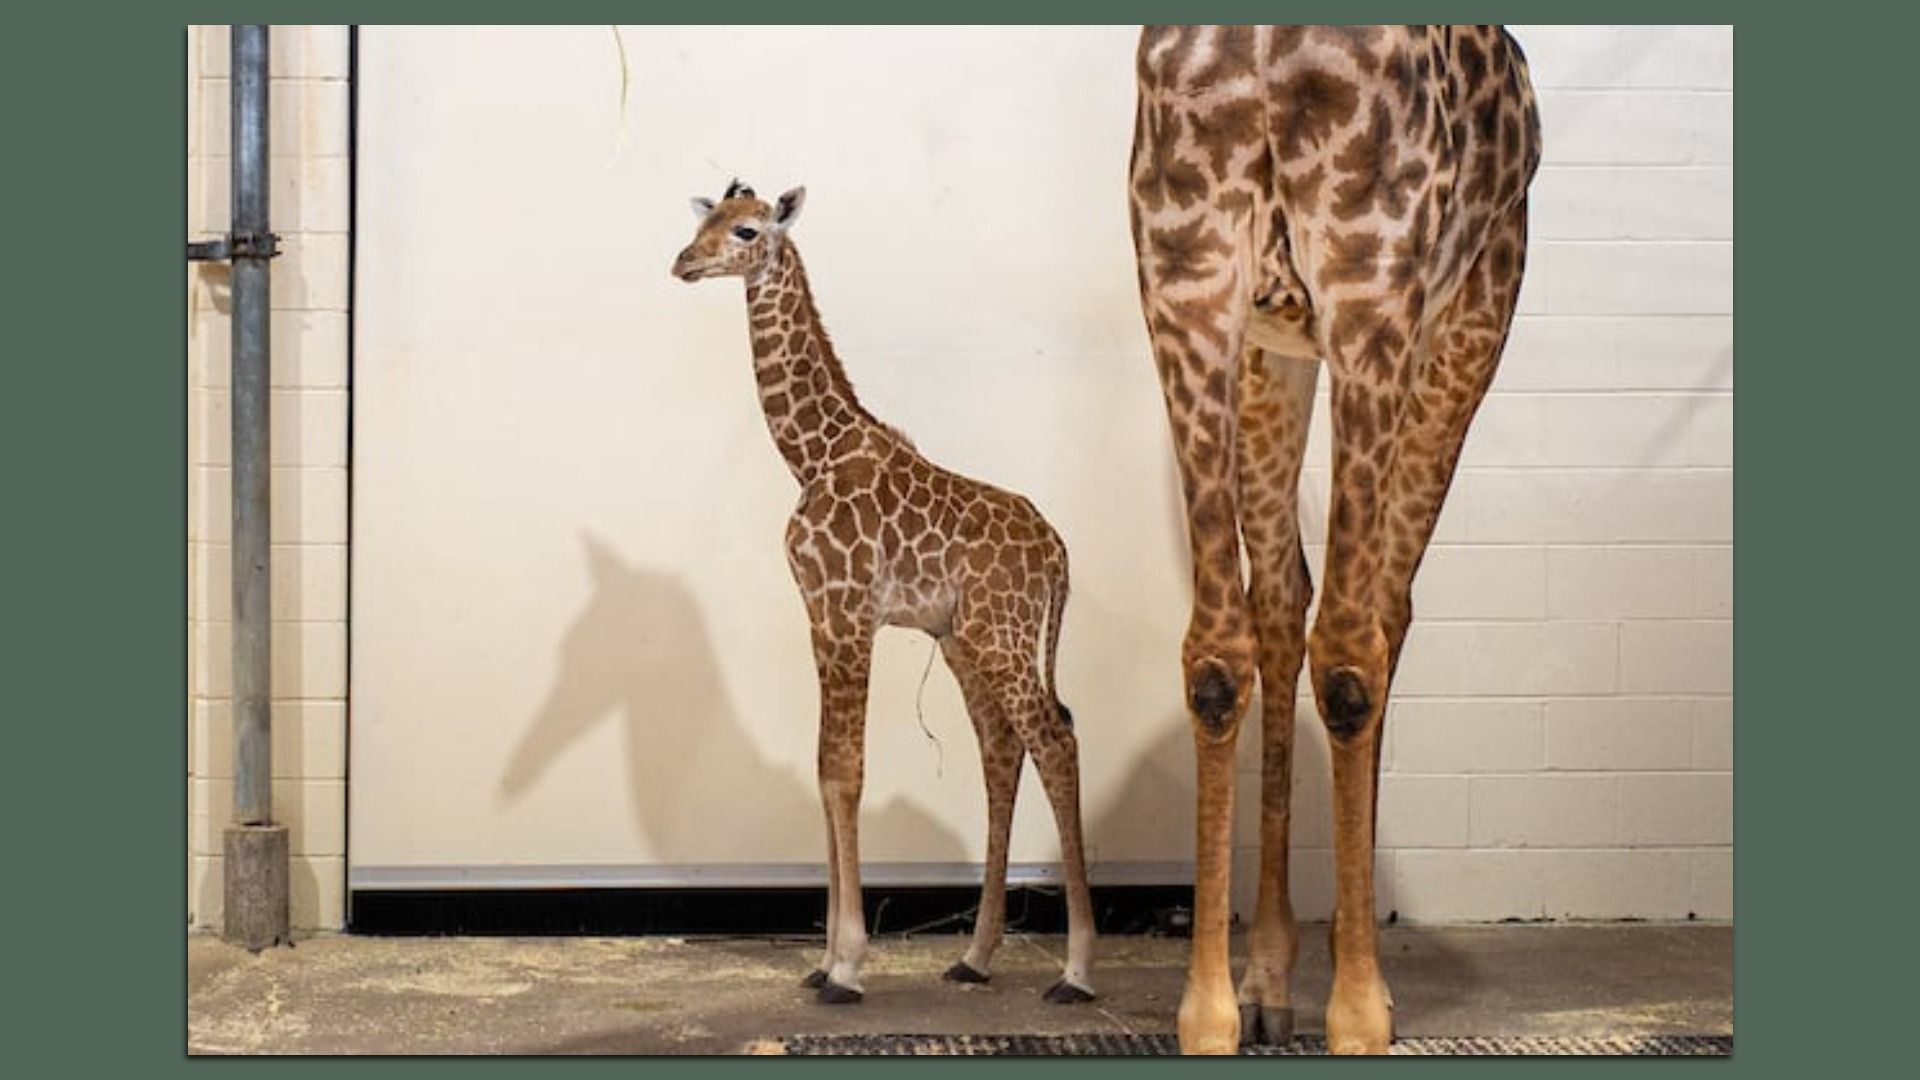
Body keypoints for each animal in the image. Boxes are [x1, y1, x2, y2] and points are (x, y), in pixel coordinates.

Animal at [672, 179, 1097, 1005]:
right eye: (704, 221)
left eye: (745, 230)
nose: (681, 262)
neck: (813, 455)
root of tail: (1059, 552)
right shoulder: (818, 614)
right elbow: (824, 766)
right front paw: (824, 960)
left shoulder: (847, 611)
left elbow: (847, 769)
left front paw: (846, 965)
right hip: (965, 639)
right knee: (1003, 748)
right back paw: (975, 956)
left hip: (1002, 633)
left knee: (1056, 738)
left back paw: (1076, 971)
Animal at [1127, 26, 1542, 1054]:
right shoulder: (1222, 284)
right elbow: (1290, 654)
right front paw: (1289, 1009)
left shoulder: (1318, 297)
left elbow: (1310, 656)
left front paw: (1322, 1009)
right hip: (1316, 332)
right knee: (1317, 611)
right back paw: (1287, 980)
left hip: (1363, 322)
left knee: (1324, 616)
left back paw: (1307, 978)